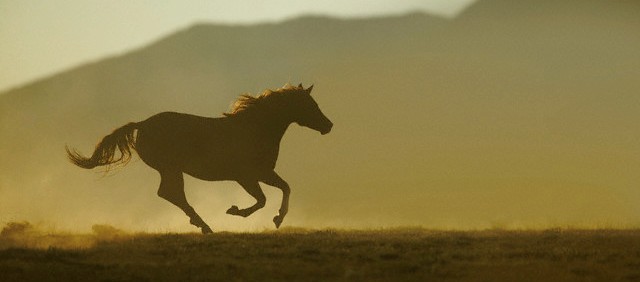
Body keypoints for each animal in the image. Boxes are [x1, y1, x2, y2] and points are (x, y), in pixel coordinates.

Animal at [65, 83, 332, 234]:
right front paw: (236, 211)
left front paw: (277, 219)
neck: (255, 128)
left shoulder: (261, 173)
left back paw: (202, 224)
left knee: (170, 194)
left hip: (171, 169)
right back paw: (204, 226)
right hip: (170, 168)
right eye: (311, 105)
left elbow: (284, 188)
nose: (328, 125)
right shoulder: (247, 176)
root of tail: (142, 124)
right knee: (170, 193)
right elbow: (263, 199)